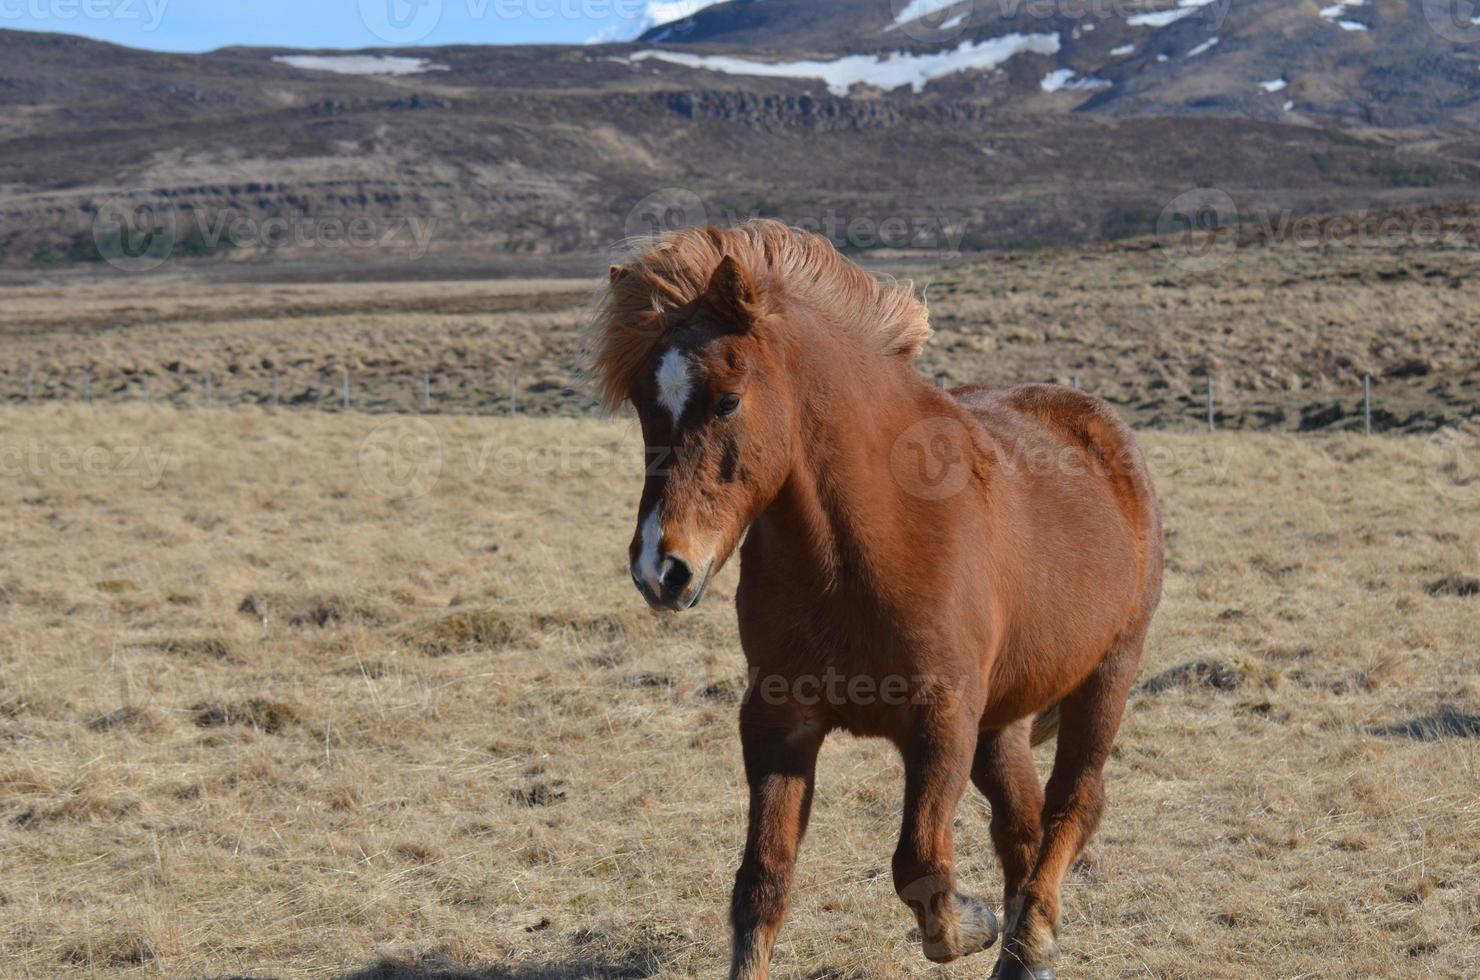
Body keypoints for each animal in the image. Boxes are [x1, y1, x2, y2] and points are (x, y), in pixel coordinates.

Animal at [589, 222, 1166, 980]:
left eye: (728, 400)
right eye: (643, 407)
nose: (662, 568)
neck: (861, 549)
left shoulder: (942, 717)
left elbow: (919, 864)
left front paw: (973, 924)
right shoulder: (778, 720)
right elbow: (763, 882)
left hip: (1107, 674)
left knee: (1075, 804)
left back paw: (1033, 936)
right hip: (1003, 719)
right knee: (1021, 822)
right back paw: (1021, 953)